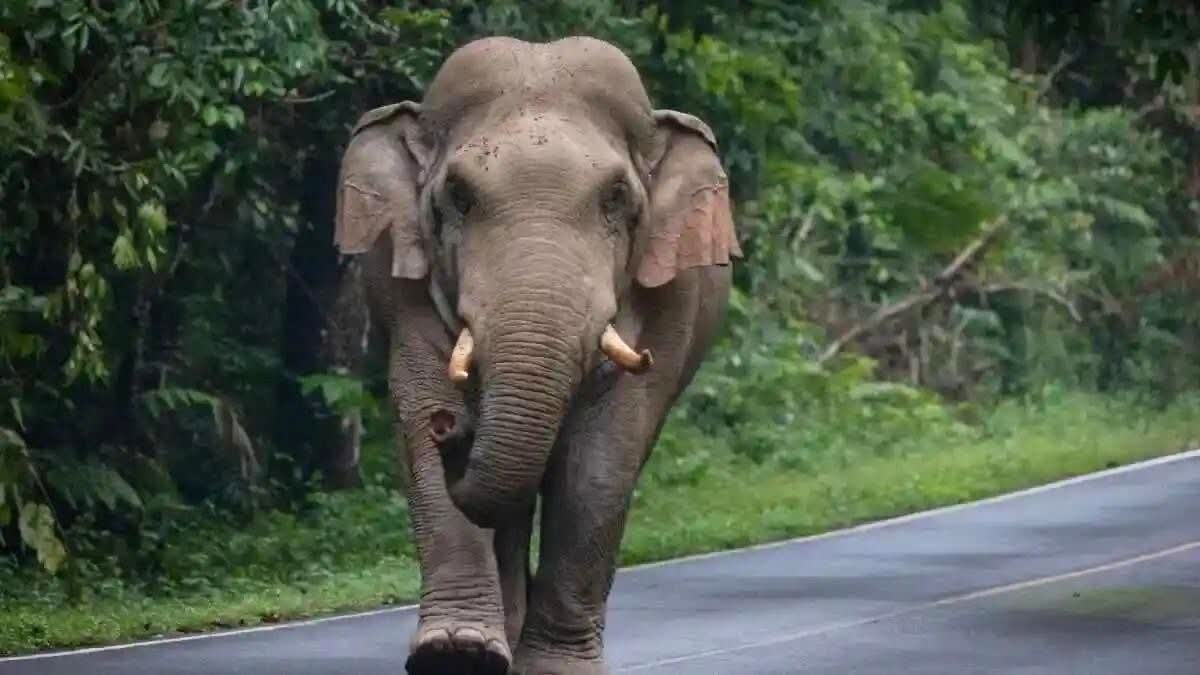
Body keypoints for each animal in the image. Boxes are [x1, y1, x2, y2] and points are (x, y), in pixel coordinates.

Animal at [333, 35, 734, 672]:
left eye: (617, 198)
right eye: (458, 197)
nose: (454, 429)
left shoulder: (671, 299)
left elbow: (602, 458)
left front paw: (554, 667)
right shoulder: (400, 283)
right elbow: (419, 407)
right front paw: (457, 653)